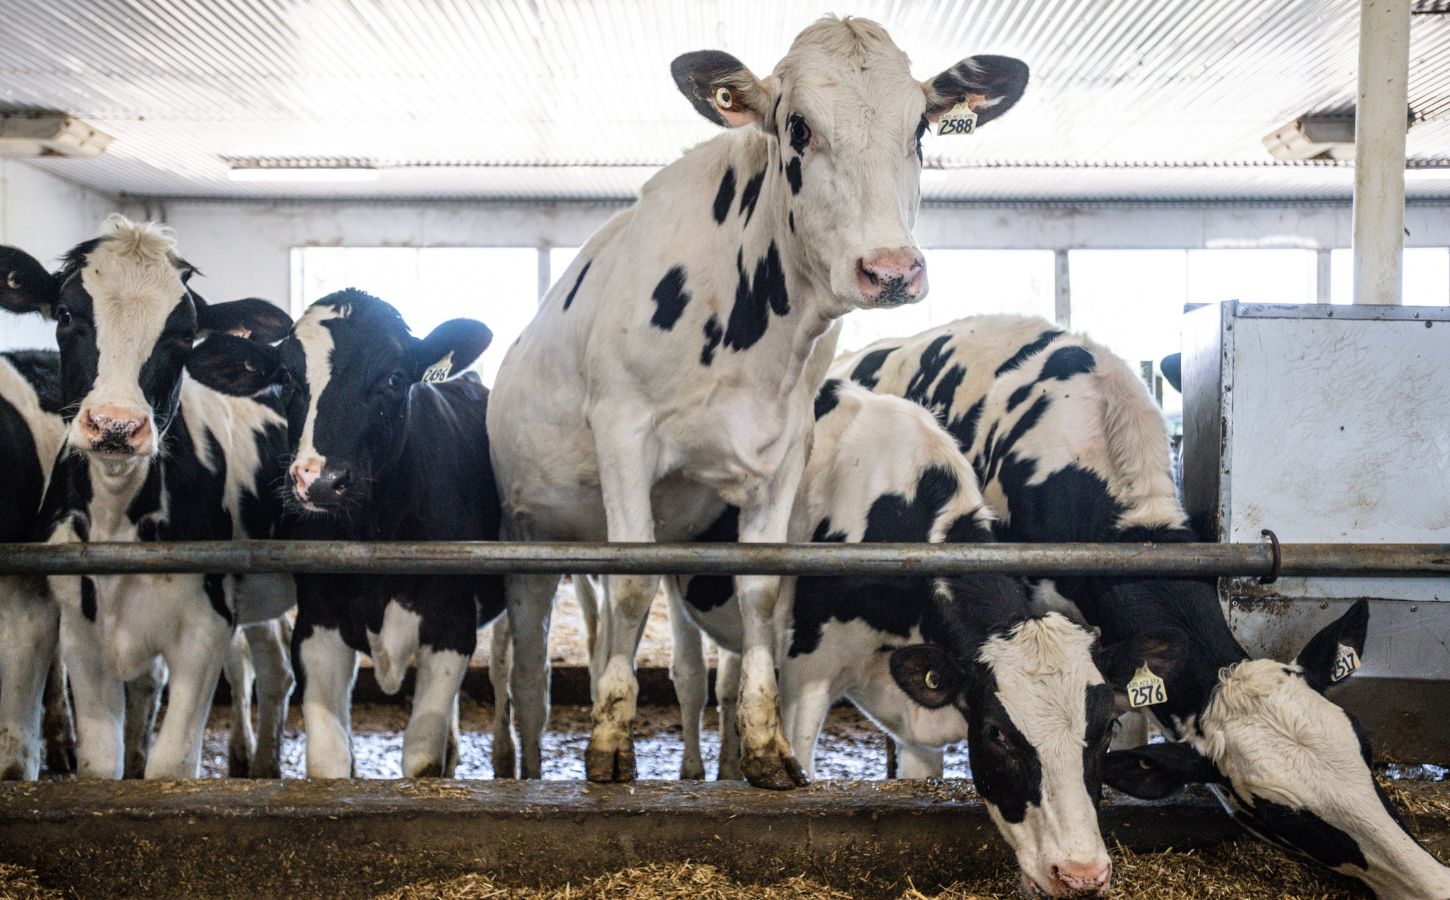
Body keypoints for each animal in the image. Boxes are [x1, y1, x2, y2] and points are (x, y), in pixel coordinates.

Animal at [0, 217, 294, 776]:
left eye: (183, 334)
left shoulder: (205, 627)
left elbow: (171, 767)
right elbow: (100, 764)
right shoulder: (82, 633)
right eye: (66, 314)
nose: (116, 425)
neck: (119, 518)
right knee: (269, 666)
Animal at [187, 289, 504, 776]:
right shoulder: (319, 622)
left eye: (394, 377)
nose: (318, 479)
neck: (374, 533)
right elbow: (328, 759)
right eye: (287, 378)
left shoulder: (450, 622)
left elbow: (421, 755)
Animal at [487, 15, 1032, 788]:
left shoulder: (783, 454)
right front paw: (609, 744)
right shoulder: (623, 431)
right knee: (528, 666)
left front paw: (767, 749)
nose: (890, 270)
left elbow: (762, 591)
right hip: (526, 532)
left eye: (921, 128)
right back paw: (528, 764)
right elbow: (631, 587)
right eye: (798, 127)